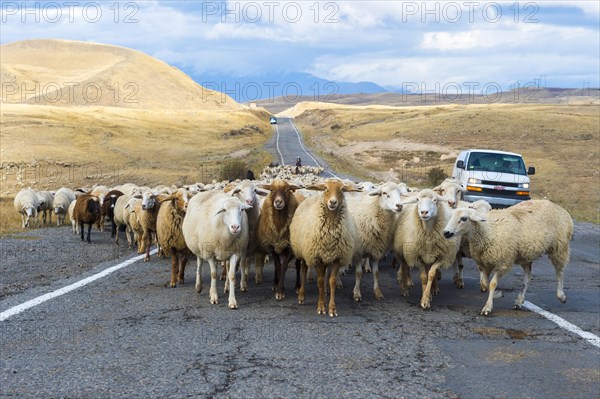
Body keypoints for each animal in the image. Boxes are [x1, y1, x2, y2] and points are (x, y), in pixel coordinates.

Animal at [442, 200, 576, 316]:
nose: (446, 233)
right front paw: (497, 294)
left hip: (560, 247)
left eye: (464, 218)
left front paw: (488, 307)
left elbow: (492, 284)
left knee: (560, 271)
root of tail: (557, 206)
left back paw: (561, 296)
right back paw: (519, 301)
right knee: (527, 278)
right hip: (526, 256)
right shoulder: (484, 264)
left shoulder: (503, 263)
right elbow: (485, 283)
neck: (489, 231)